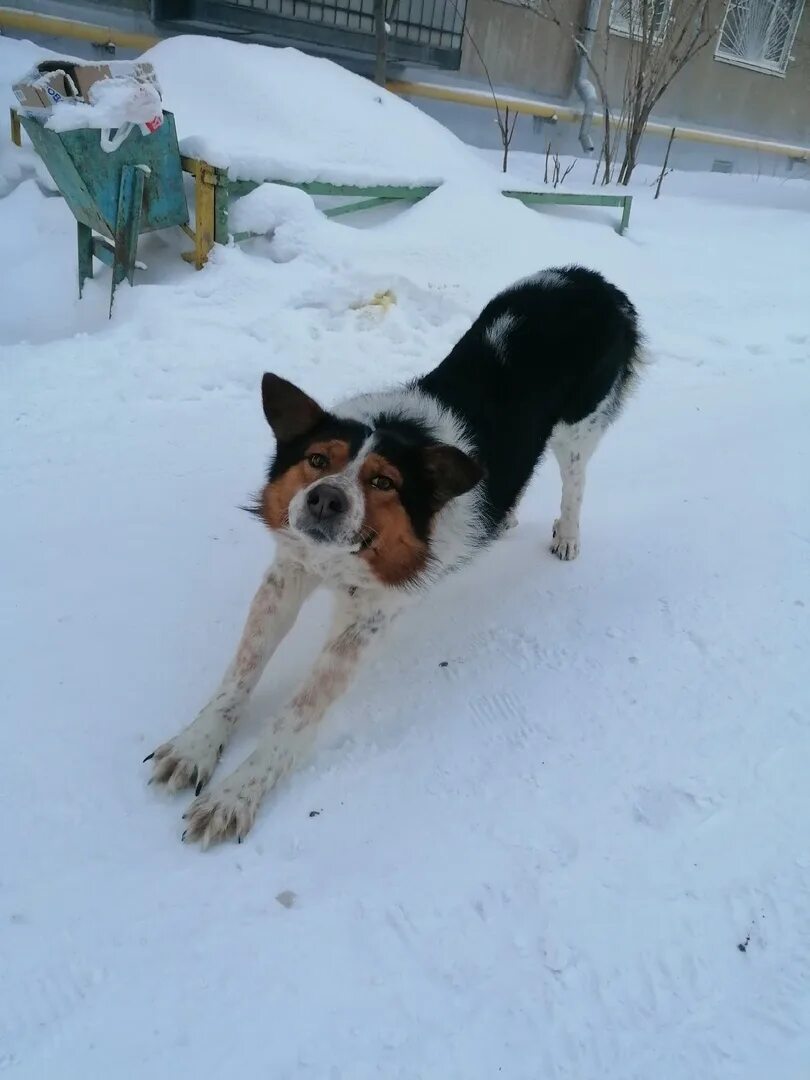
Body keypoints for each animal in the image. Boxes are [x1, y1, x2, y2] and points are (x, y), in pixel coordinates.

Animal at [144, 263, 639, 842]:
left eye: (383, 482)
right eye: (317, 460)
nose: (326, 500)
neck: (343, 559)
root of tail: (593, 279)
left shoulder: (368, 617)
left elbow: (301, 709)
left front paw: (236, 794)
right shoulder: (287, 573)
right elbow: (241, 669)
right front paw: (196, 745)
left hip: (579, 427)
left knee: (575, 479)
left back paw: (567, 534)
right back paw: (503, 519)